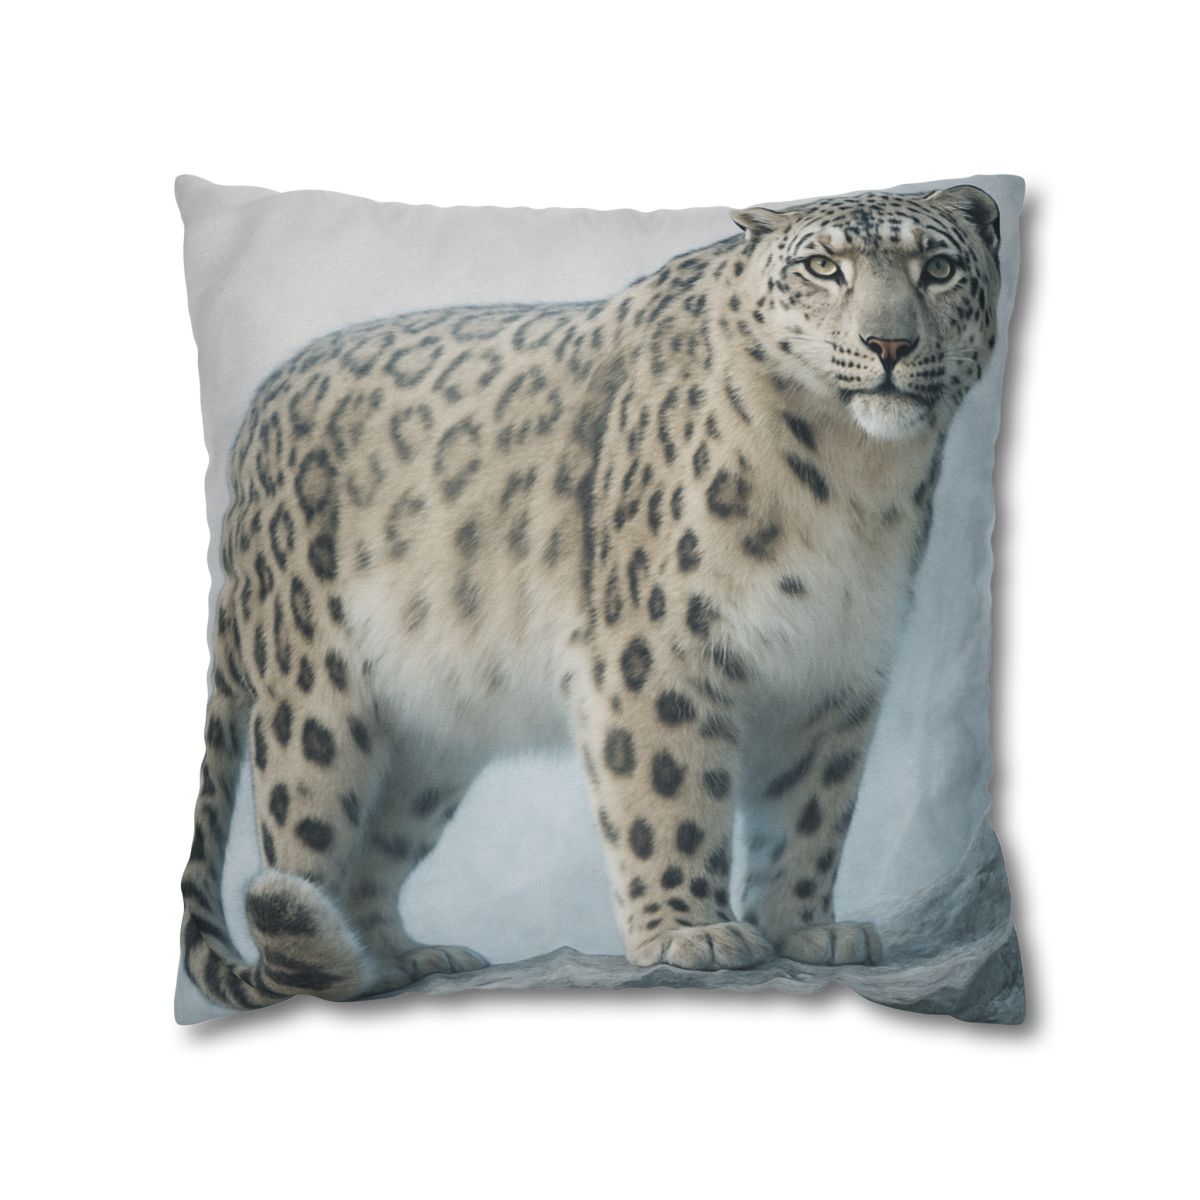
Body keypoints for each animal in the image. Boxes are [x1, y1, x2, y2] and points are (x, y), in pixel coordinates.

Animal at [180, 185, 1001, 1010]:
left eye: (938, 268)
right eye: (824, 267)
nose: (889, 343)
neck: (855, 481)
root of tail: (251, 429)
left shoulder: (838, 667)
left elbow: (812, 810)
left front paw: (807, 927)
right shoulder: (656, 647)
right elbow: (669, 791)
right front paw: (690, 931)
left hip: (429, 748)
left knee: (373, 852)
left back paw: (403, 958)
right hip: (314, 707)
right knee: (304, 850)